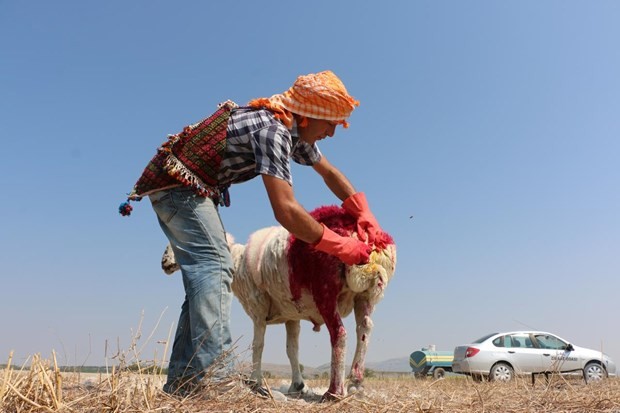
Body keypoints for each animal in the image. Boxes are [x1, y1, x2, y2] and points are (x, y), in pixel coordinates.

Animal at [162, 205, 398, 400]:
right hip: (364, 296)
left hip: (325, 290)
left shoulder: (257, 308)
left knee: (339, 333)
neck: (237, 262)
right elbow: (292, 349)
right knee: (364, 329)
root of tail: (364, 238)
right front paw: (297, 385)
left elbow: (257, 345)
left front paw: (255, 382)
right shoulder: (292, 315)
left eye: (178, 242)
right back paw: (356, 383)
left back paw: (334, 391)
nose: (164, 263)